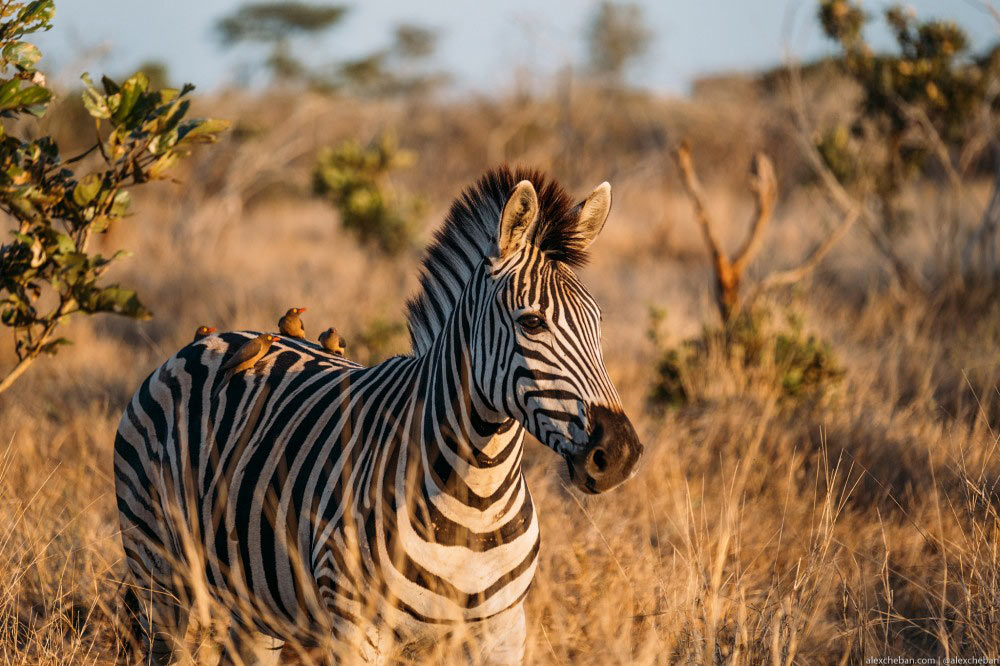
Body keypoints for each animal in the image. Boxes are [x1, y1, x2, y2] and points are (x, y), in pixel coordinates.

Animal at [113, 165, 644, 660]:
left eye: (598, 322)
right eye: (531, 322)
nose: (618, 453)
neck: (476, 500)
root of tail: (213, 338)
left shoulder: (503, 632)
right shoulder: (356, 629)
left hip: (254, 607)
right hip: (159, 570)